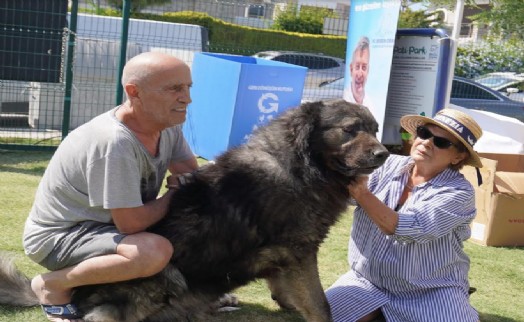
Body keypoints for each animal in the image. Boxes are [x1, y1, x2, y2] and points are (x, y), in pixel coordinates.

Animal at [0, 99, 384, 320]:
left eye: (375, 130)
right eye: (350, 130)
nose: (383, 154)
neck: (299, 164)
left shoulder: (286, 257)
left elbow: (289, 291)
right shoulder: (299, 252)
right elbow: (320, 303)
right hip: (164, 274)